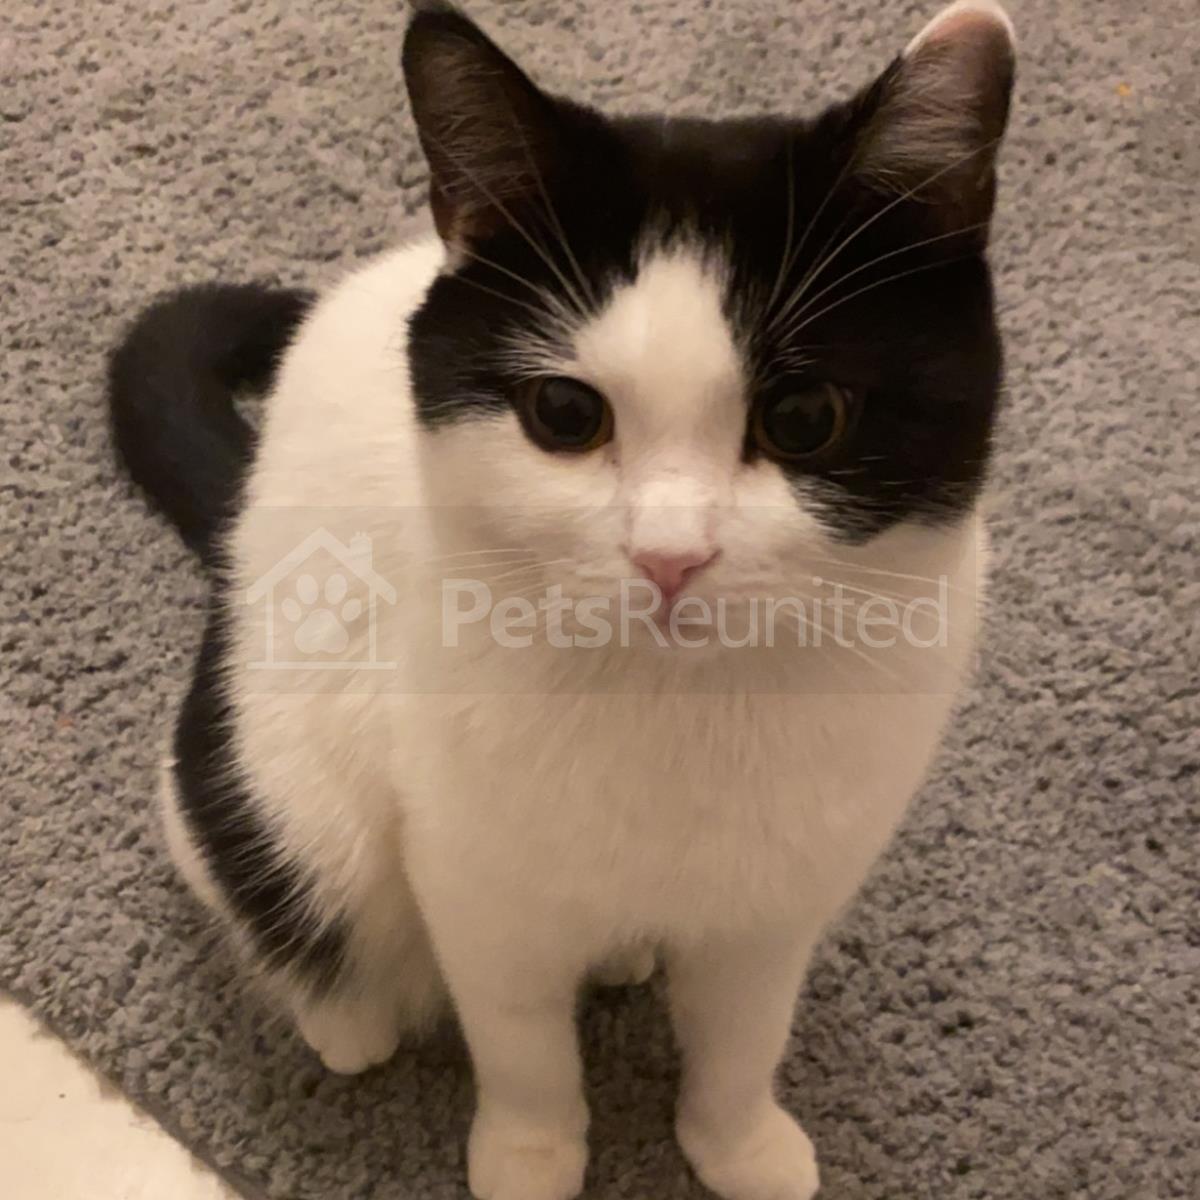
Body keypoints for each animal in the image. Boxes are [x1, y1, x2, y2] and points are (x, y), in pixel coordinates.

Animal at [108, 2, 1016, 1198]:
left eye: (806, 417)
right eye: (566, 414)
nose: (671, 556)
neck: (678, 714)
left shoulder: (774, 902)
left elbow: (744, 1033)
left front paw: (735, 1142)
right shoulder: (475, 883)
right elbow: (521, 1041)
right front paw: (532, 1154)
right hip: (283, 772)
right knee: (261, 864)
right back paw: (342, 1017)